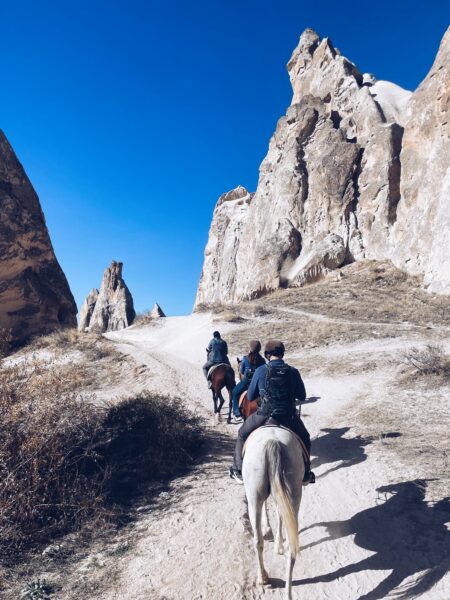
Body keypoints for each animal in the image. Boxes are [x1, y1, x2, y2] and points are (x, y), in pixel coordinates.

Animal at [243, 424, 306, 596]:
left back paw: (263, 577)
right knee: (291, 546)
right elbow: (279, 513)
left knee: (257, 540)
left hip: (253, 499)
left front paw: (270, 531)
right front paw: (277, 542)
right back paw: (287, 594)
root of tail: (273, 441)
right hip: (293, 494)